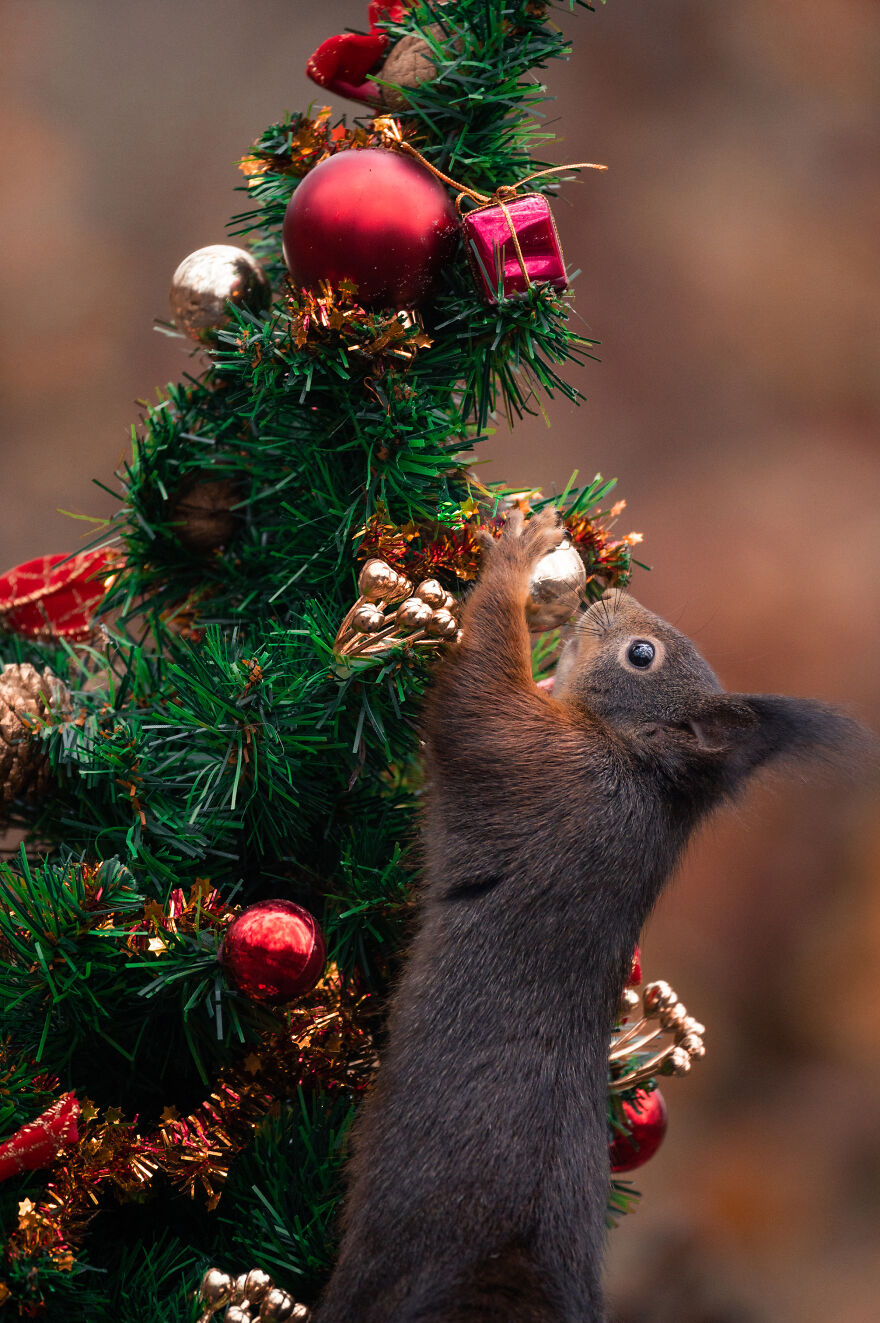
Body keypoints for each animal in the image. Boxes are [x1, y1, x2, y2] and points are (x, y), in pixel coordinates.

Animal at [313, 506, 862, 1323]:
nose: (608, 597)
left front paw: (516, 560)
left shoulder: (533, 759)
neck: (640, 766)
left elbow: (474, 696)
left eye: (641, 654)